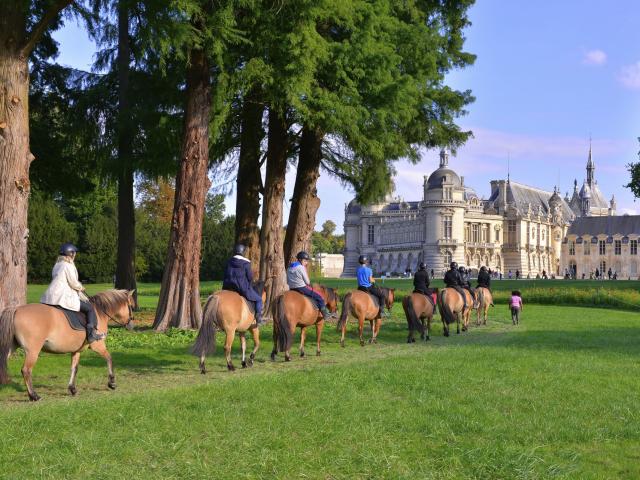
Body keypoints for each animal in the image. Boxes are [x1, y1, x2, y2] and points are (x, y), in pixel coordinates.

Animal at [0, 288, 135, 402]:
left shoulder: (77, 350)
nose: (131, 324)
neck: (99, 312)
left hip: (11, 347)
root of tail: (16, 309)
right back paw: (34, 396)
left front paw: (72, 389)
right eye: (131, 306)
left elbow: (74, 368)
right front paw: (112, 383)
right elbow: (109, 358)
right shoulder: (98, 346)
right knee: (26, 370)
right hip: (33, 351)